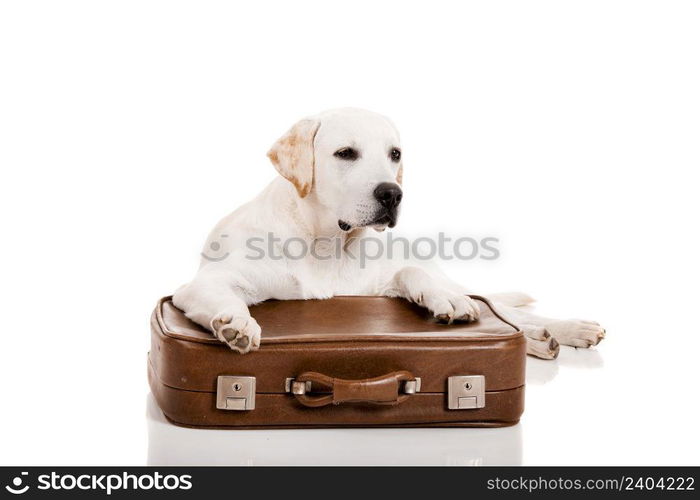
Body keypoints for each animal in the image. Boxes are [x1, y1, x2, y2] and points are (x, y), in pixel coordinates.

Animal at [172, 108, 604, 360]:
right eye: (345, 153)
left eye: (394, 154)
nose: (392, 193)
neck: (327, 245)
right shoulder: (201, 284)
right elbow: (225, 296)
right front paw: (237, 322)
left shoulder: (381, 282)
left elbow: (413, 274)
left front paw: (443, 299)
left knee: (501, 308)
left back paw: (560, 330)